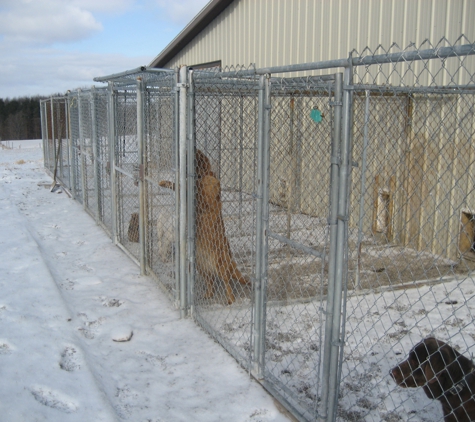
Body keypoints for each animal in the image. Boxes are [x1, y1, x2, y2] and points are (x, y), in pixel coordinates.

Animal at [159, 148, 249, 304]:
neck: (202, 174)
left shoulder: (206, 198)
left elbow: (195, 191)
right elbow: (178, 186)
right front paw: (164, 182)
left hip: (221, 265)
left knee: (227, 283)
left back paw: (230, 299)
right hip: (200, 267)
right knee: (210, 282)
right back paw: (208, 294)